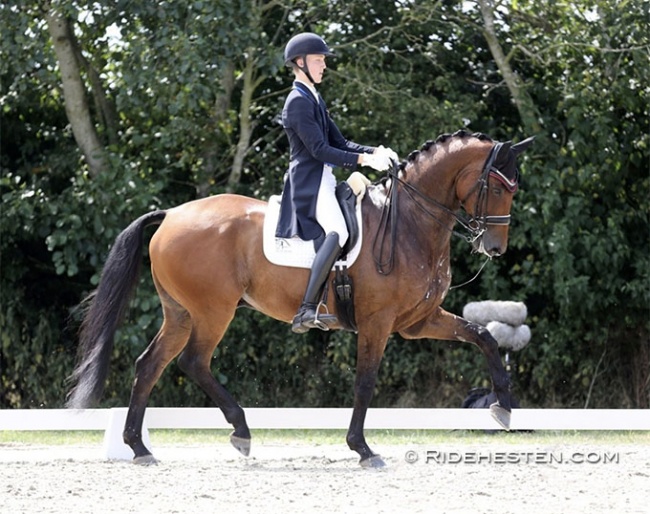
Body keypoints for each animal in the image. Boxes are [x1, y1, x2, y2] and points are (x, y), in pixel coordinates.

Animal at [67, 130, 532, 466]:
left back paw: (139, 447)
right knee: (193, 362)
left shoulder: (419, 321)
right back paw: (240, 432)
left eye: (514, 189)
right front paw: (362, 449)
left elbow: (484, 337)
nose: (494, 247)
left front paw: (503, 408)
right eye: (497, 187)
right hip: (213, 311)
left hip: (180, 313)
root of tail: (171, 215)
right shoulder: (378, 323)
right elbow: (365, 383)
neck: (409, 223)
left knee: (150, 365)